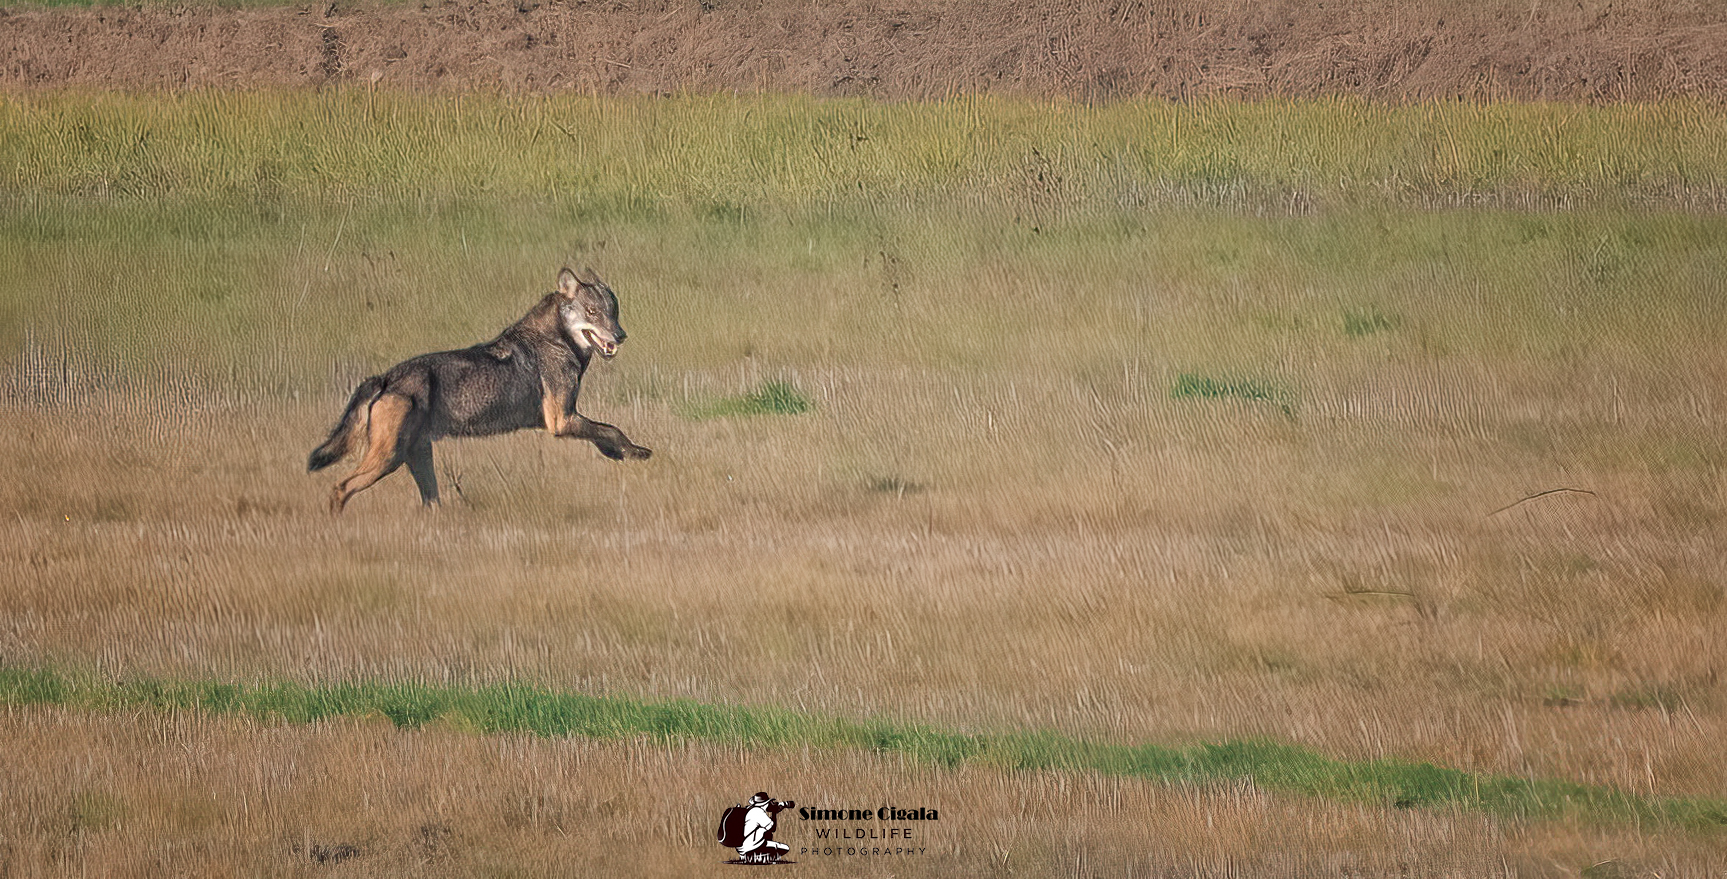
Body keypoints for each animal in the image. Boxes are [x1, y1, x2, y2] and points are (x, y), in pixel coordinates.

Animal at [308, 266, 651, 514]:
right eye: (592, 312)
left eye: (613, 312)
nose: (620, 336)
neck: (556, 341)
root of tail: (385, 377)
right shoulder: (561, 421)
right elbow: (612, 429)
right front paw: (635, 452)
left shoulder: (564, 419)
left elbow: (604, 432)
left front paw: (618, 453)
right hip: (388, 458)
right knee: (340, 488)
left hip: (417, 458)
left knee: (430, 502)